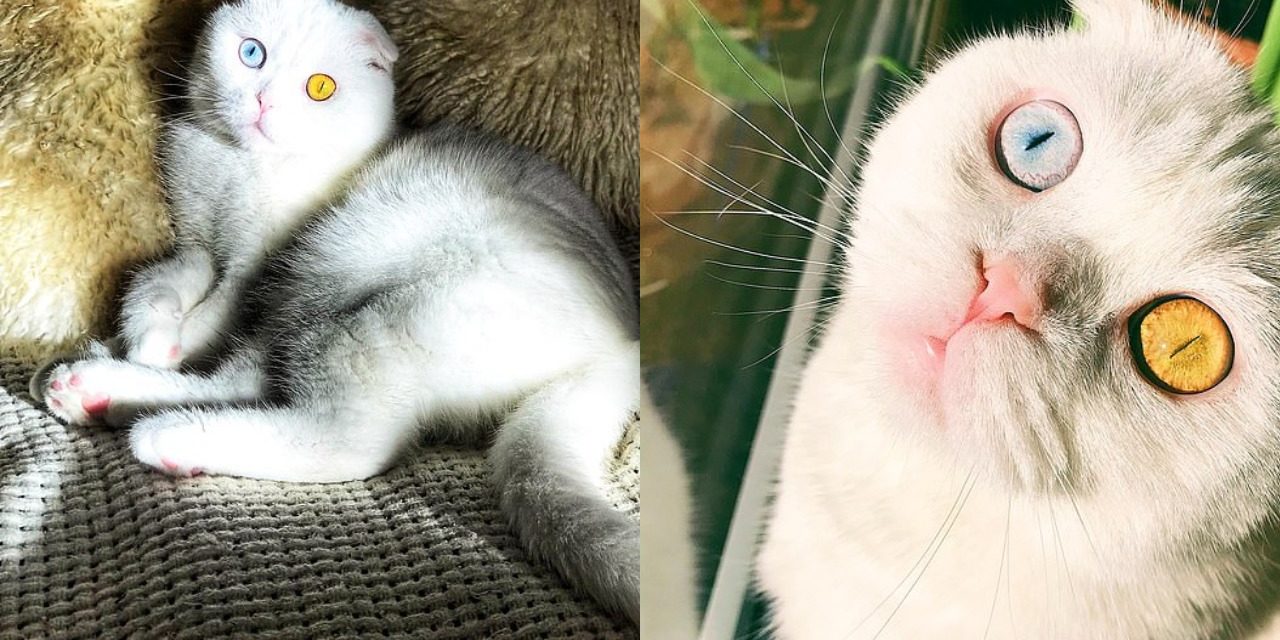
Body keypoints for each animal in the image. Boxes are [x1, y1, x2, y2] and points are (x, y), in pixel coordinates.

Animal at [33, 0, 640, 622]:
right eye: (251, 52)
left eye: (320, 88)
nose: (264, 102)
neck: (235, 170)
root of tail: (617, 353)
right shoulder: (198, 246)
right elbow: (159, 282)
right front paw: (147, 335)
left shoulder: (256, 268)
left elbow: (213, 313)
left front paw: (166, 344)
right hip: (315, 299)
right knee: (249, 381)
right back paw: (91, 387)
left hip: (353, 298)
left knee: (345, 437)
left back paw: (163, 432)